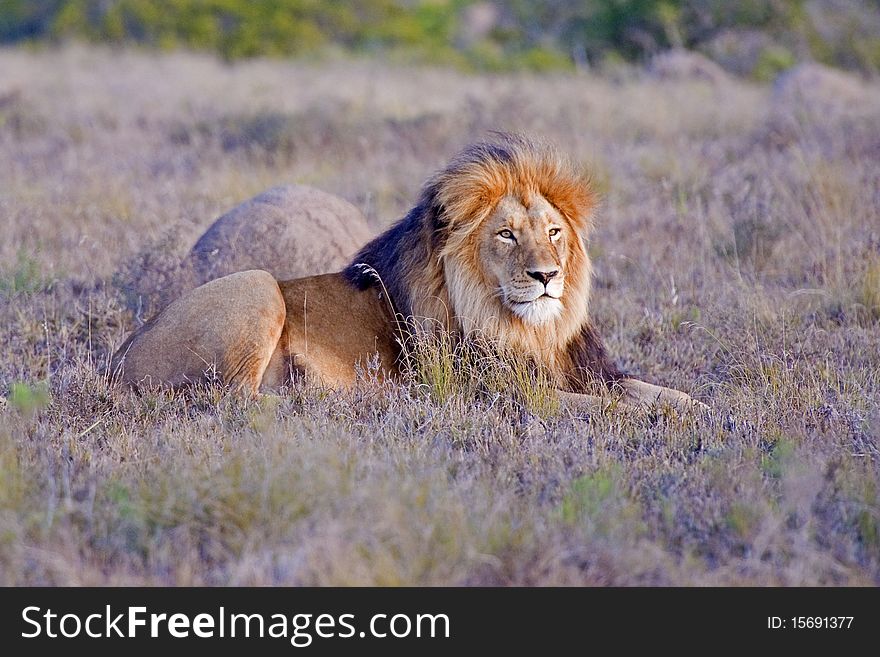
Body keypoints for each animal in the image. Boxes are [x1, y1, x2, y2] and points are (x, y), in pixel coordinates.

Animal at [110, 132, 704, 410]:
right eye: (507, 234)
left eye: (554, 232)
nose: (546, 277)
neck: (524, 329)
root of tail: (115, 363)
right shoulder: (498, 392)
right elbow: (609, 409)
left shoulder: (587, 369)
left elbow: (657, 393)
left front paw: (706, 411)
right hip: (256, 283)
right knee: (231, 399)